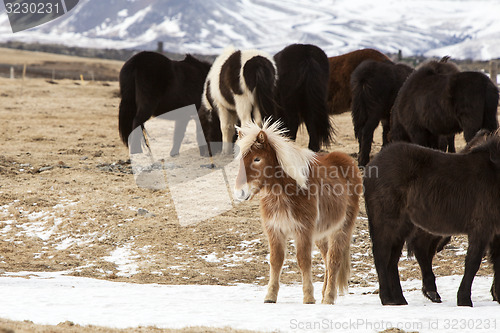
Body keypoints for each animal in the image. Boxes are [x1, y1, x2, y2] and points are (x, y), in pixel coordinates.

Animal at [364, 132, 500, 306]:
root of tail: (372, 165)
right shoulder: (482, 228)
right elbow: (473, 263)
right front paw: (464, 300)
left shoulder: (496, 233)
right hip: (387, 223)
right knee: (382, 256)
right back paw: (387, 298)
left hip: (403, 227)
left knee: (393, 260)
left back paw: (400, 299)